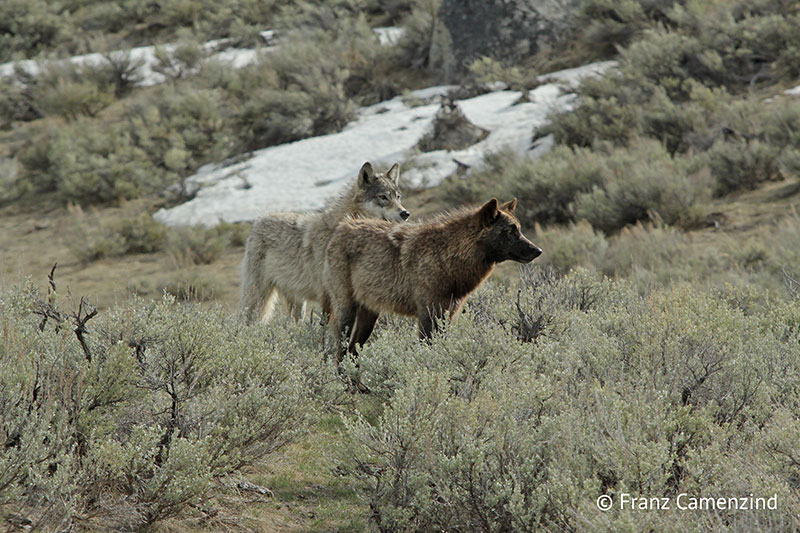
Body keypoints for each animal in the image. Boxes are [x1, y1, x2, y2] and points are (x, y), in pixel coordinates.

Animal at [324, 198, 544, 362]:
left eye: (519, 230)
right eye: (510, 231)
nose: (538, 251)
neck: (446, 257)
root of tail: (341, 227)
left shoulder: (448, 315)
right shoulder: (427, 316)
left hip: (369, 316)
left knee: (352, 352)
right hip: (347, 312)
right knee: (341, 353)